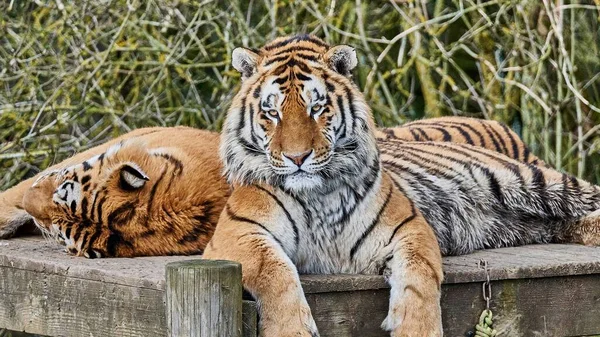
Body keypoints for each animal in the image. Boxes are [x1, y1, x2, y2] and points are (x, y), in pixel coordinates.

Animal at [200, 34, 600, 337]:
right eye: (272, 112)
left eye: (317, 108)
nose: (298, 157)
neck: (318, 196)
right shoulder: (235, 235)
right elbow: (276, 273)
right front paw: (291, 330)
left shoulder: (409, 228)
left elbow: (418, 280)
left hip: (533, 181)